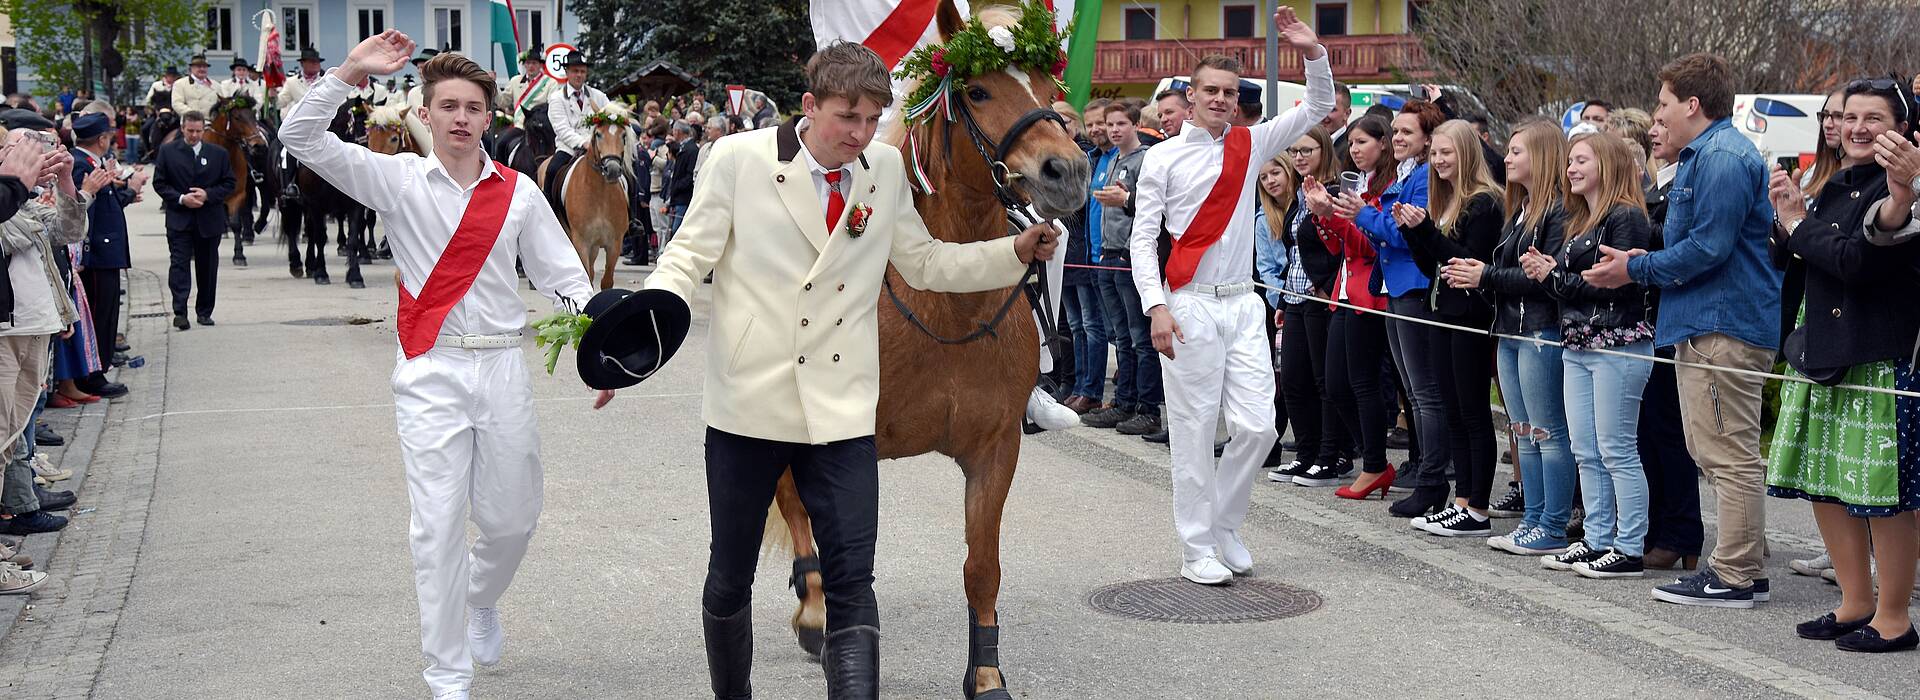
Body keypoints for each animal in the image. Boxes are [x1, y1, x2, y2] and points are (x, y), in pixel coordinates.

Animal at [537, 100, 633, 289]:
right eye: (598, 134)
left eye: (623, 135)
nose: (612, 170)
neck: (600, 196)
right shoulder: (581, 242)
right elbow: (585, 277)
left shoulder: (614, 244)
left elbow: (606, 281)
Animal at [764, 2, 1098, 694]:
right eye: (976, 90)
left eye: (1049, 87)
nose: (1070, 172)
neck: (948, 302)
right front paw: (829, 624)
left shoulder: (995, 449)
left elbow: (982, 567)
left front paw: (986, 675)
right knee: (790, 498)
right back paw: (812, 610)